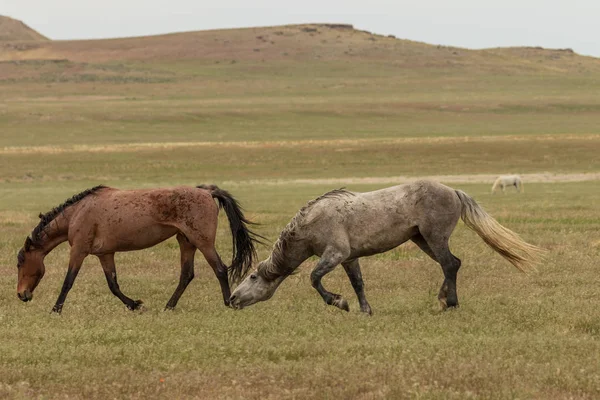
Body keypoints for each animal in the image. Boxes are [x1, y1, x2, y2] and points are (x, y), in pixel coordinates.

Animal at [15, 184, 260, 312]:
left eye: (20, 262)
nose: (21, 295)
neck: (78, 213)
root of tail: (207, 192)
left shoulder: (78, 251)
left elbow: (68, 282)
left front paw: (56, 309)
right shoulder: (105, 254)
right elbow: (113, 285)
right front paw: (134, 304)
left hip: (202, 242)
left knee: (220, 268)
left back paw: (228, 303)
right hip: (186, 242)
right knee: (187, 275)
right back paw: (169, 306)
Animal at [231, 180, 544, 314]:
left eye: (252, 277)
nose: (232, 299)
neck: (310, 224)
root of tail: (453, 191)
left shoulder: (334, 254)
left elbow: (314, 278)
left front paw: (339, 302)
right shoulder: (349, 258)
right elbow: (358, 283)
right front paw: (364, 309)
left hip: (434, 237)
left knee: (450, 264)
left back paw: (450, 303)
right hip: (422, 240)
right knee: (452, 264)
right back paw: (442, 298)